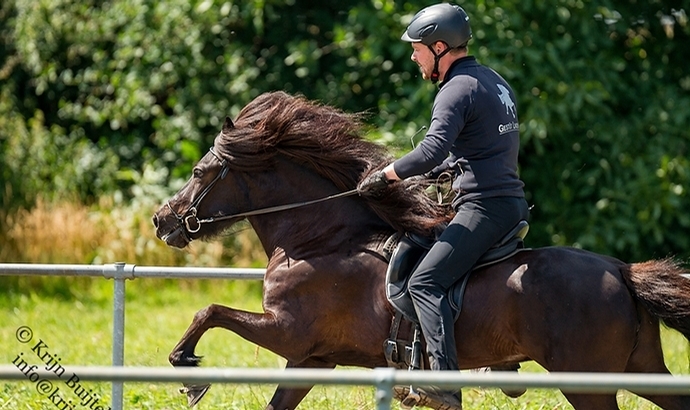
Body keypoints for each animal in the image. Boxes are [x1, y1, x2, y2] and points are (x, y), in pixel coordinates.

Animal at [153, 91, 688, 408]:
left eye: (199, 171)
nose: (163, 220)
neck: (318, 238)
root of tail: (619, 270)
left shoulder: (288, 333)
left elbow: (210, 310)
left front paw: (188, 367)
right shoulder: (311, 358)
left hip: (587, 382)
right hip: (642, 370)